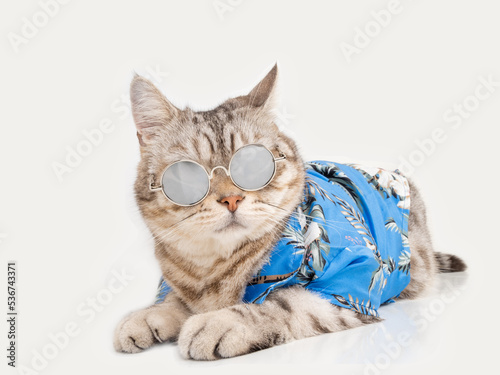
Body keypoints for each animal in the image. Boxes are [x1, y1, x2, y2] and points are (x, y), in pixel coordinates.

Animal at [113, 64, 464, 362]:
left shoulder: (351, 282)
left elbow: (286, 302)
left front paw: (221, 322)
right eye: (186, 177)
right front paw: (150, 314)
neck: (213, 270)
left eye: (253, 164)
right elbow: (174, 298)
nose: (231, 199)